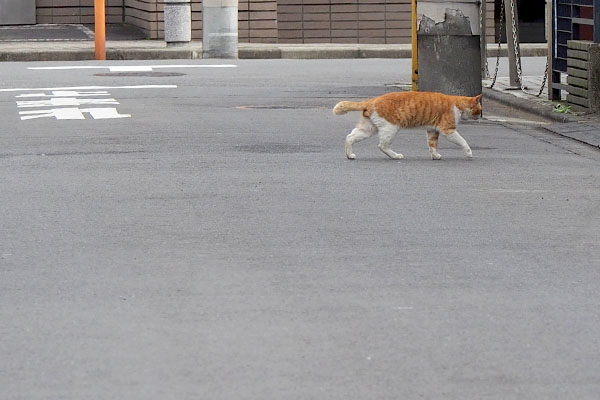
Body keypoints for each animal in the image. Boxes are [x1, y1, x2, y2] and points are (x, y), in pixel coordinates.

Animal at [332, 91, 482, 160]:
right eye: (479, 109)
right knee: (382, 146)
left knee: (350, 137)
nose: (480, 115)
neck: (457, 103)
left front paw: (435, 155)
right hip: (391, 128)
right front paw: (469, 152)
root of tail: (371, 100)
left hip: (368, 129)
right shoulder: (448, 130)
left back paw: (349, 155)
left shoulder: (432, 131)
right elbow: (463, 141)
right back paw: (395, 156)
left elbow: (432, 145)